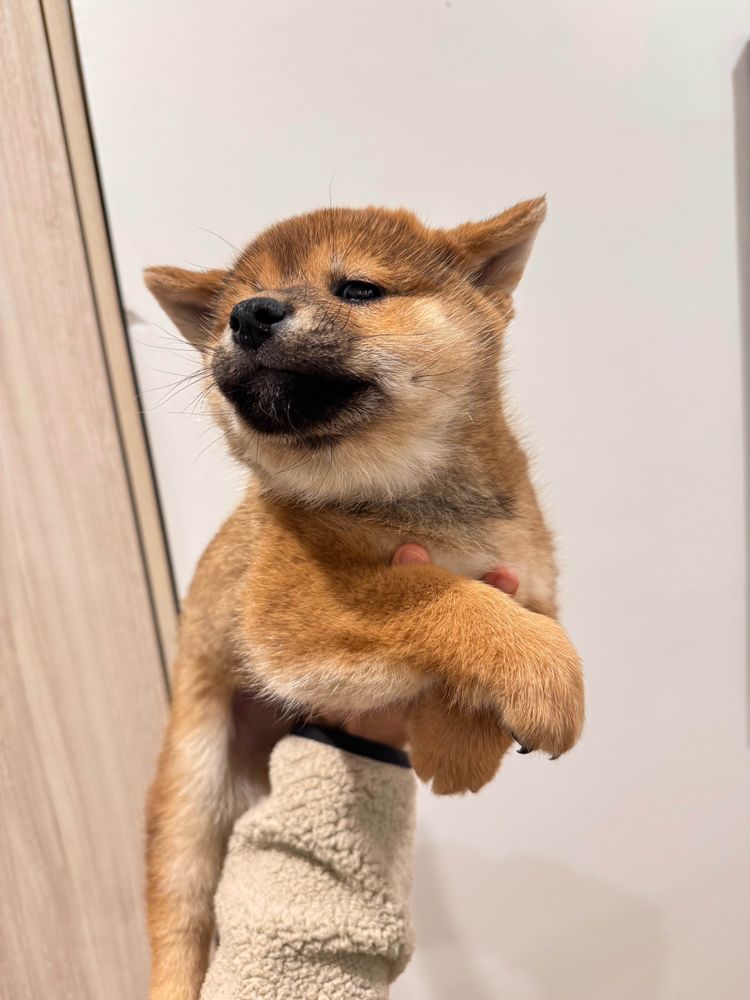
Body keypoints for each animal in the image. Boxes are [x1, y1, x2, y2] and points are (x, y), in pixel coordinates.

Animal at [143, 198, 585, 999]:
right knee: (181, 924)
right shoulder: (287, 606)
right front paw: (541, 680)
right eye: (233, 307)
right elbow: (442, 594)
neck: (399, 498)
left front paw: (456, 749)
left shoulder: (532, 583)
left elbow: (475, 648)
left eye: (357, 290)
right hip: (189, 799)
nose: (248, 315)